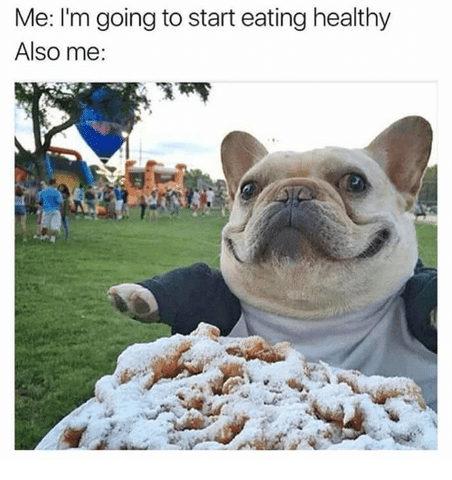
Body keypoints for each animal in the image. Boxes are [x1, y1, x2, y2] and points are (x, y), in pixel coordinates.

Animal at [107, 115, 436, 408]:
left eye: (355, 182)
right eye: (248, 189)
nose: (293, 190)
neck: (306, 310)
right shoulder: (211, 294)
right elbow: (189, 279)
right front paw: (135, 295)